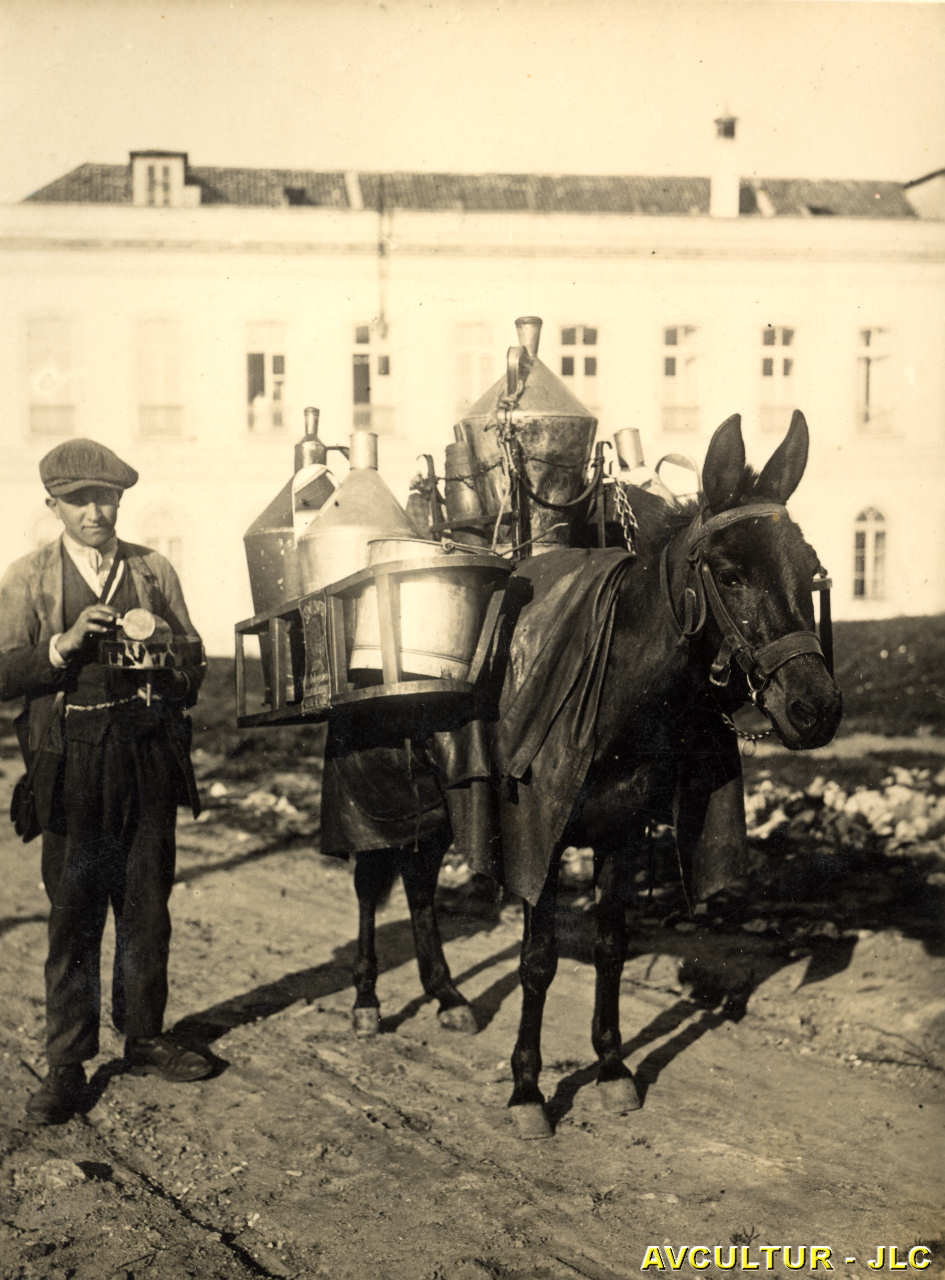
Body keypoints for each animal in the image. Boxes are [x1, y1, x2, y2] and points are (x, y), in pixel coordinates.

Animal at [321, 411, 842, 1135]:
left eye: (811, 568)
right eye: (731, 574)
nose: (815, 709)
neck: (614, 690)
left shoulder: (618, 834)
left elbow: (610, 947)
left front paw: (613, 1066)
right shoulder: (536, 838)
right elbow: (537, 963)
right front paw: (527, 1089)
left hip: (436, 800)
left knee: (419, 882)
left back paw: (447, 995)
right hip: (377, 789)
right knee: (373, 883)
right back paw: (368, 998)